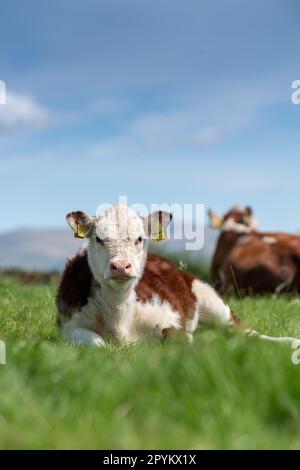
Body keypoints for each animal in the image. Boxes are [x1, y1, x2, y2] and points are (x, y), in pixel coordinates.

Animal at [57, 203, 298, 346]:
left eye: (139, 238)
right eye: (99, 238)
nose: (121, 266)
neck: (119, 315)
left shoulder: (170, 318)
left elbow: (181, 339)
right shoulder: (68, 324)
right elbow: (97, 342)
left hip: (213, 301)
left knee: (247, 333)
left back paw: (290, 341)